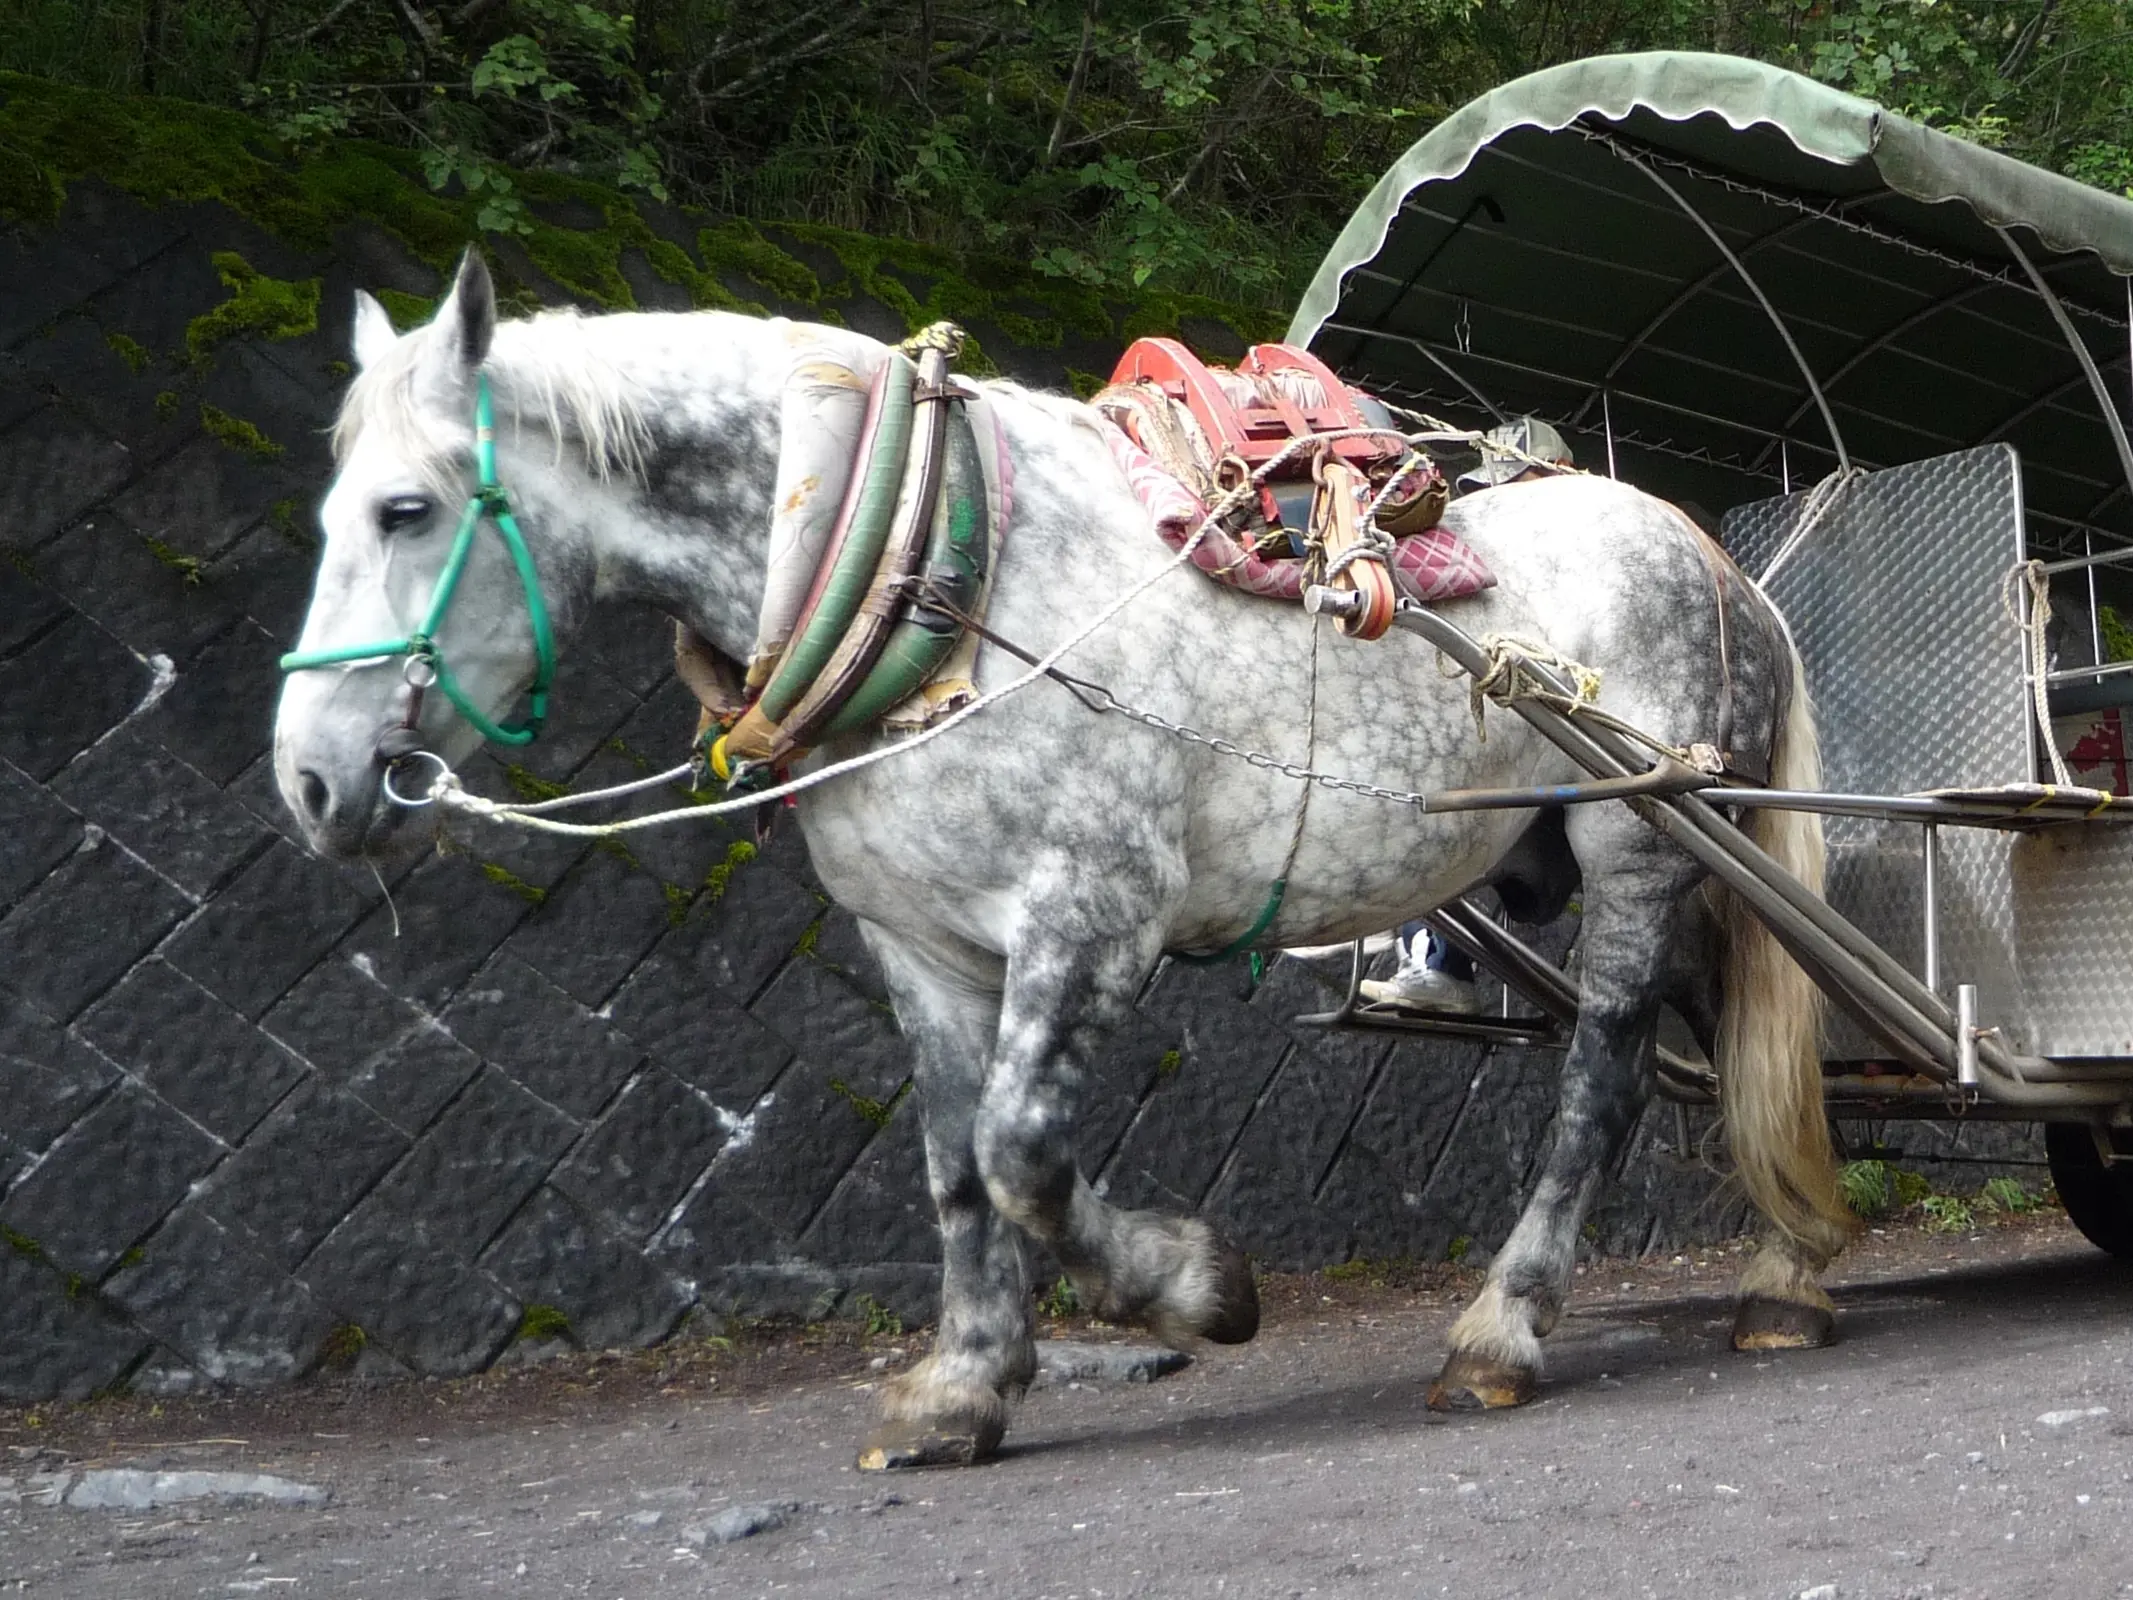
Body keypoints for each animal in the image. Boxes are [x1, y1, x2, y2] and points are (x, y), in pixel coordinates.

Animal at [279, 257, 1851, 1476]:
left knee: (1609, 1075)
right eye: (327, 514)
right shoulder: (916, 945)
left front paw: (1197, 1289)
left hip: (1641, 843)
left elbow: (1022, 1151)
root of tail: (1715, 554)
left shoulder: (1089, 914)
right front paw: (964, 1387)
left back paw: (1509, 1325)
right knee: (1735, 1030)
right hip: (1635, 856)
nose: (310, 779)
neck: (936, 571)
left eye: (407, 511)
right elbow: (952, 1168)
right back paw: (1788, 1266)